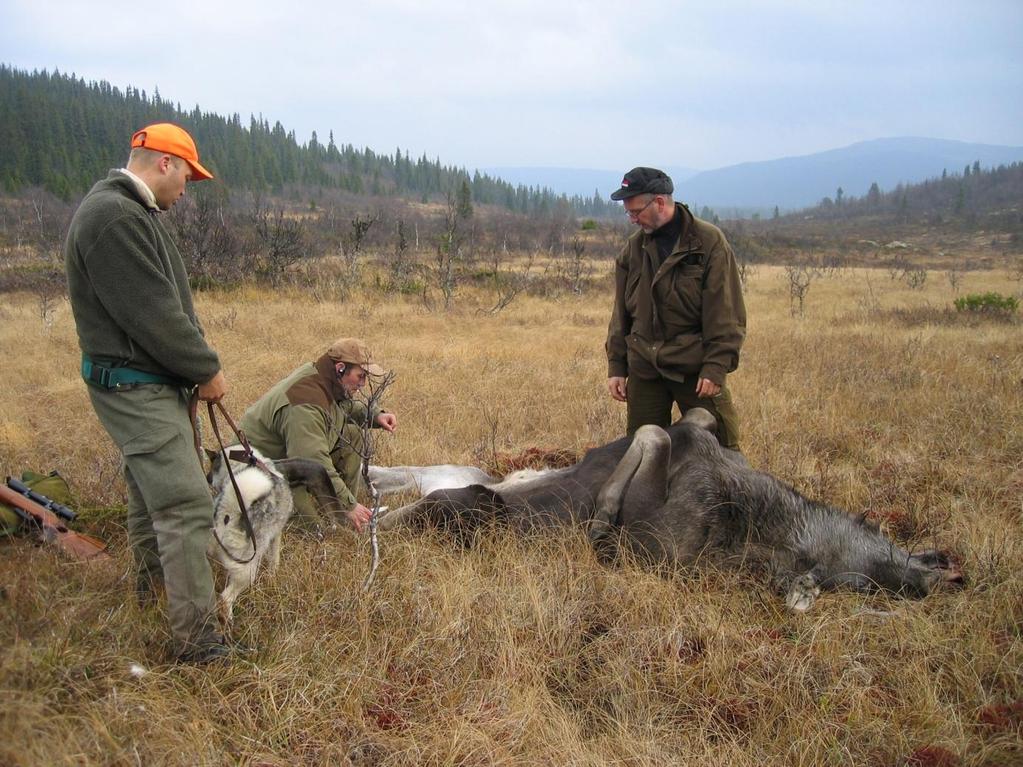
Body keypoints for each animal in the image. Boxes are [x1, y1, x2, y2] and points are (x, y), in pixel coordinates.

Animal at [206, 449, 339, 625]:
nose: (207, 477)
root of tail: (228, 516)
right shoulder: (276, 534)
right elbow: (274, 559)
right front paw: (273, 575)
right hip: (247, 571)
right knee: (225, 599)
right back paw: (229, 622)